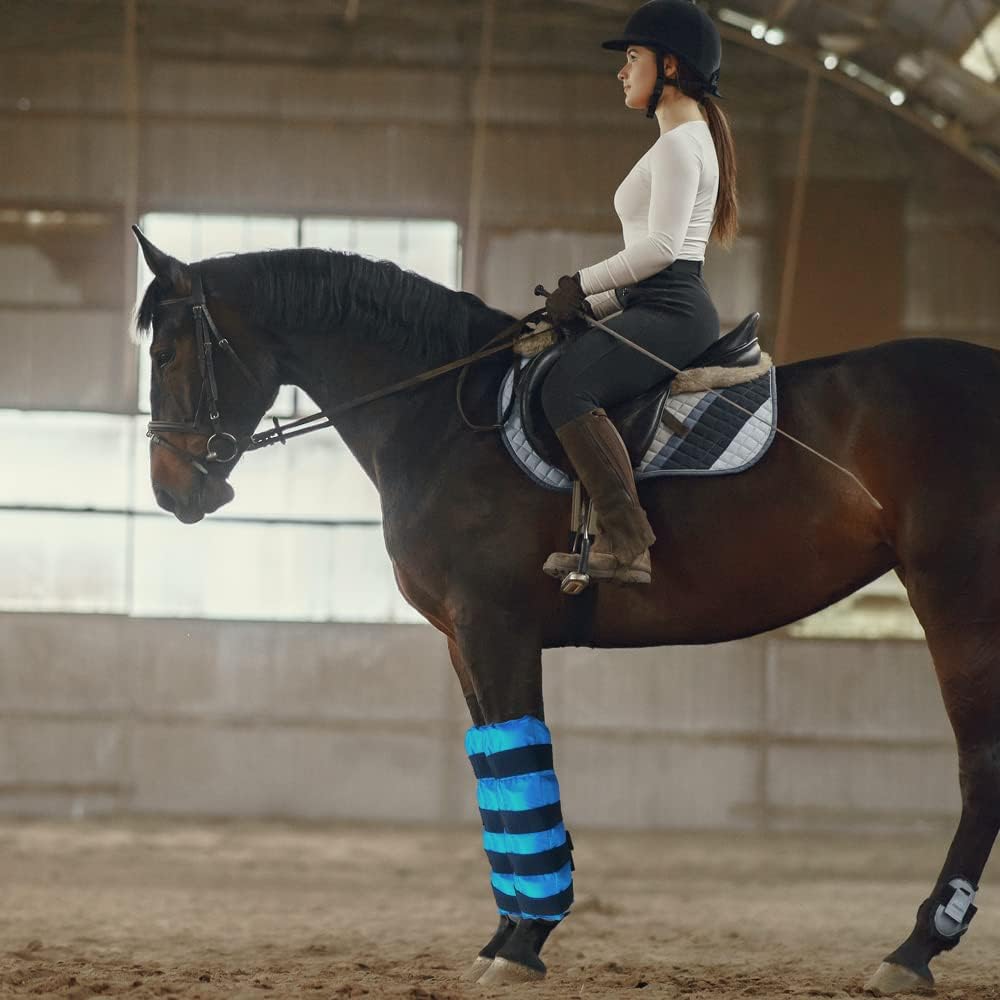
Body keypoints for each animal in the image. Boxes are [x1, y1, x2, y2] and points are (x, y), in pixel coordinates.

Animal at [132, 226, 1000, 994]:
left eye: (166, 354)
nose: (172, 491)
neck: (439, 417)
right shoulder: (464, 639)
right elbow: (498, 767)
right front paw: (505, 937)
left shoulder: (496, 628)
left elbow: (522, 760)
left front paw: (524, 944)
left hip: (959, 600)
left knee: (980, 768)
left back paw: (914, 949)